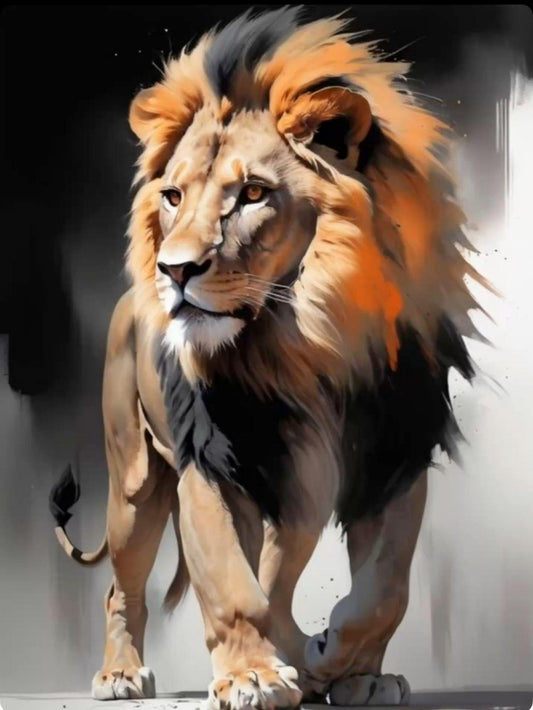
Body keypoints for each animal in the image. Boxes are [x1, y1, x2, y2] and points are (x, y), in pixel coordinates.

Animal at [49, 7, 486, 706]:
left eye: (253, 194)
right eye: (173, 197)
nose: (174, 270)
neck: (310, 343)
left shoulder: (395, 462)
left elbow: (382, 591)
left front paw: (350, 670)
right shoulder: (215, 463)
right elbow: (233, 585)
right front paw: (254, 674)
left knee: (283, 570)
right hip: (136, 483)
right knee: (124, 582)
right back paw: (122, 673)